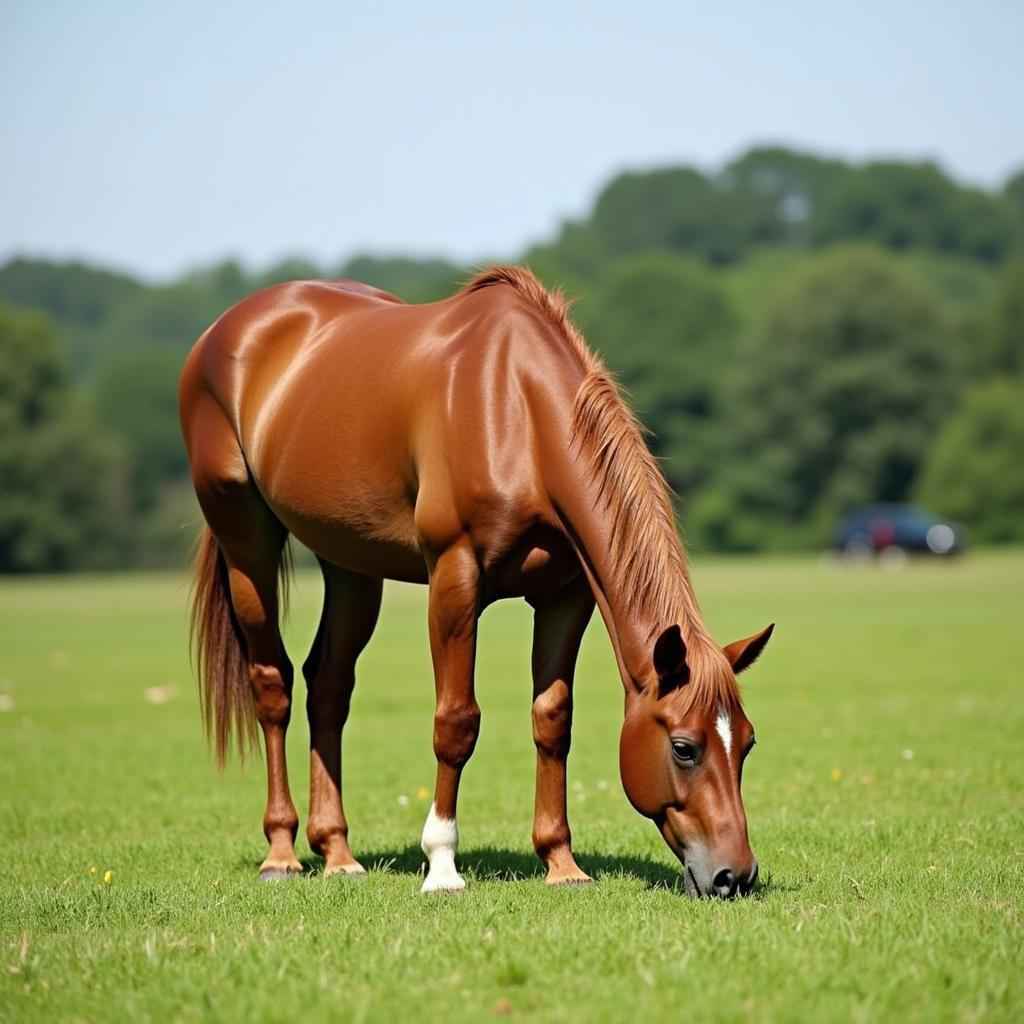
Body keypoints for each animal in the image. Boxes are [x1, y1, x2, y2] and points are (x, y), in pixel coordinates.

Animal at [180, 266, 770, 897]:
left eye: (748, 742)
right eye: (684, 748)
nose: (735, 875)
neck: (515, 409)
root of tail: (226, 330)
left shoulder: (566, 594)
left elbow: (552, 719)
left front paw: (561, 863)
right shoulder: (453, 577)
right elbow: (456, 721)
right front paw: (441, 865)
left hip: (351, 566)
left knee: (329, 687)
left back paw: (338, 852)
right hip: (246, 541)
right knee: (273, 685)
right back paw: (282, 852)